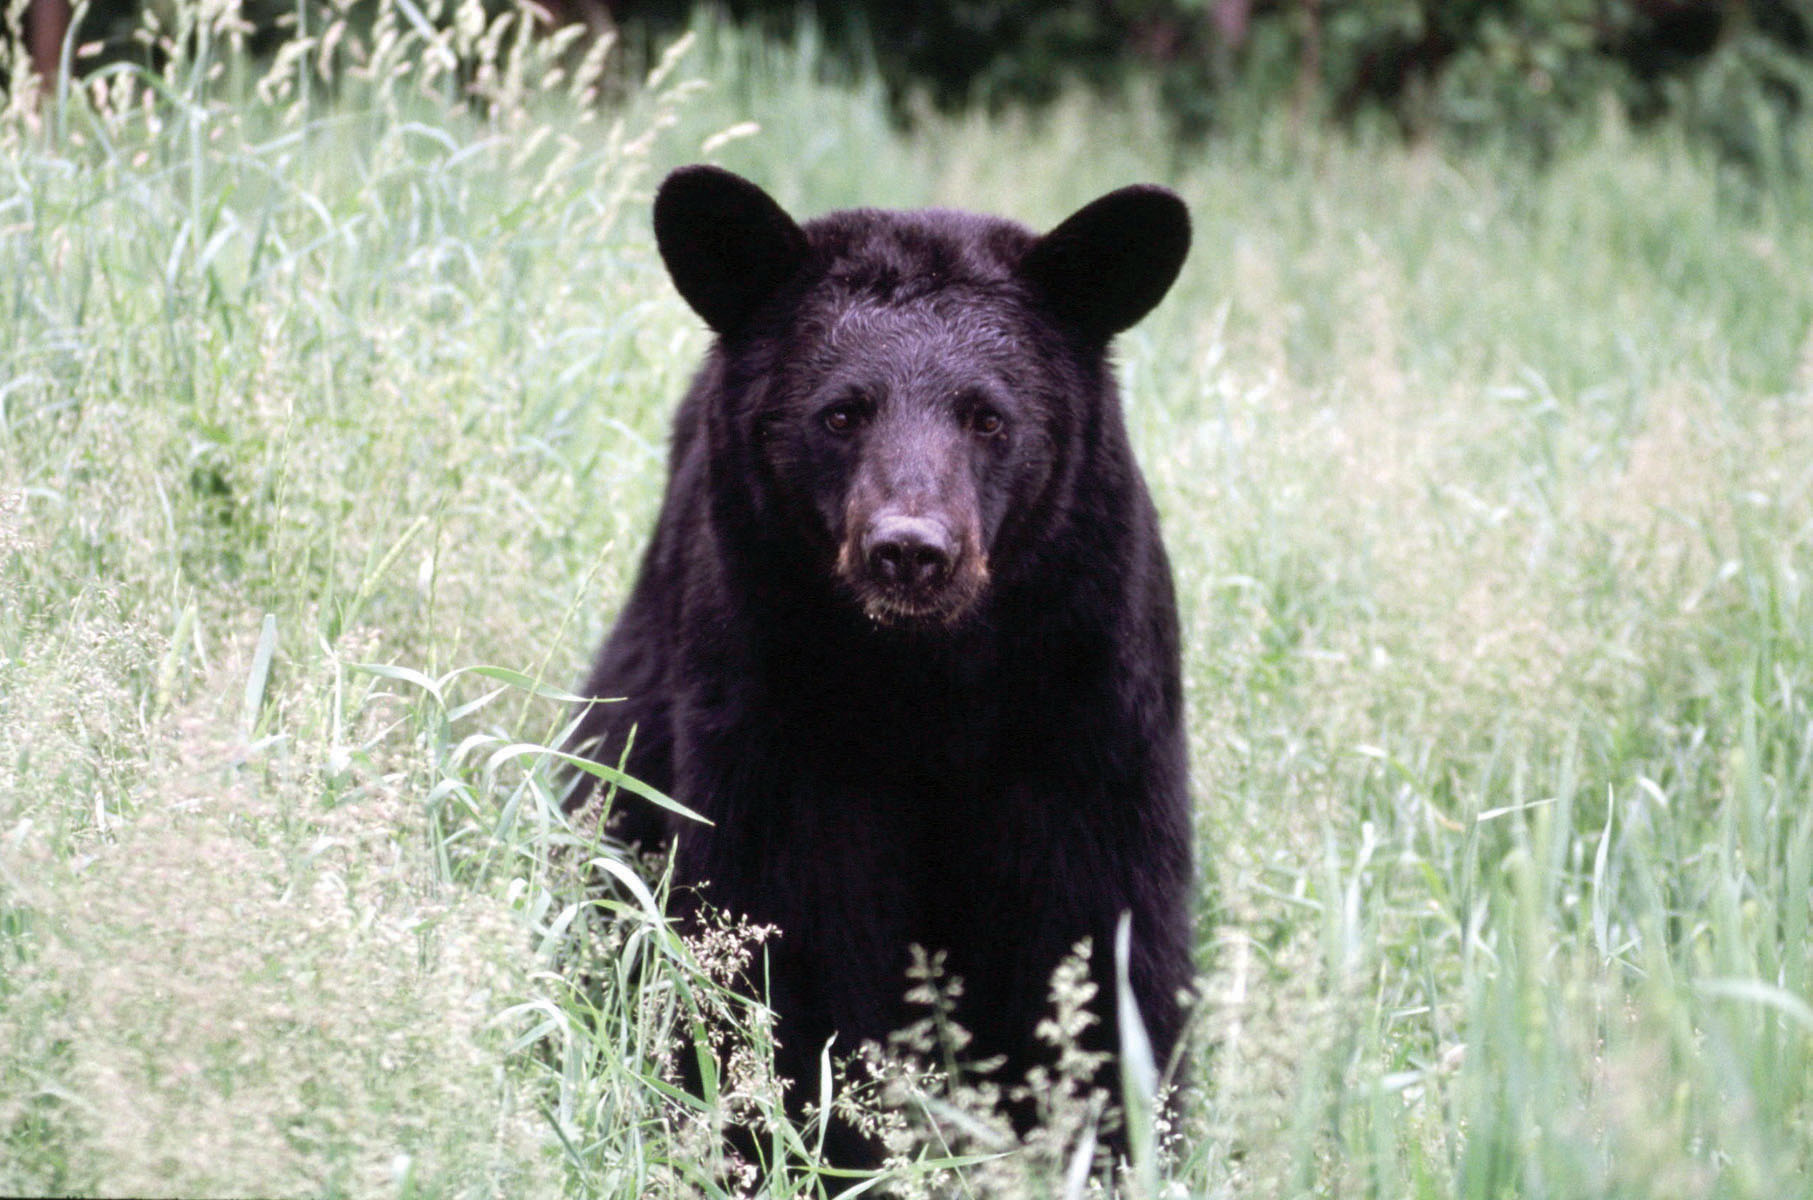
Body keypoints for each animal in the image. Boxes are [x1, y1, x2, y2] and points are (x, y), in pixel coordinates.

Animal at [565, 164, 1189, 1167]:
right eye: (841, 412)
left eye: (988, 417)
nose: (910, 551)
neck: (927, 675)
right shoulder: (772, 701)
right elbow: (790, 931)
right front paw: (807, 1143)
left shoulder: (1083, 696)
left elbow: (1100, 927)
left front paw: (1103, 1138)